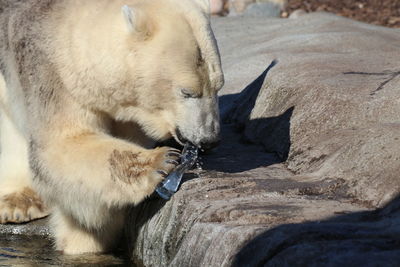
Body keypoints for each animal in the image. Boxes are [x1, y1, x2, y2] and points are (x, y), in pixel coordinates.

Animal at [0, 0, 222, 255]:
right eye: (187, 92)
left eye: (218, 86)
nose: (209, 139)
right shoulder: (52, 75)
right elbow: (61, 143)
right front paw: (160, 161)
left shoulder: (130, 113)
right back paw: (18, 201)